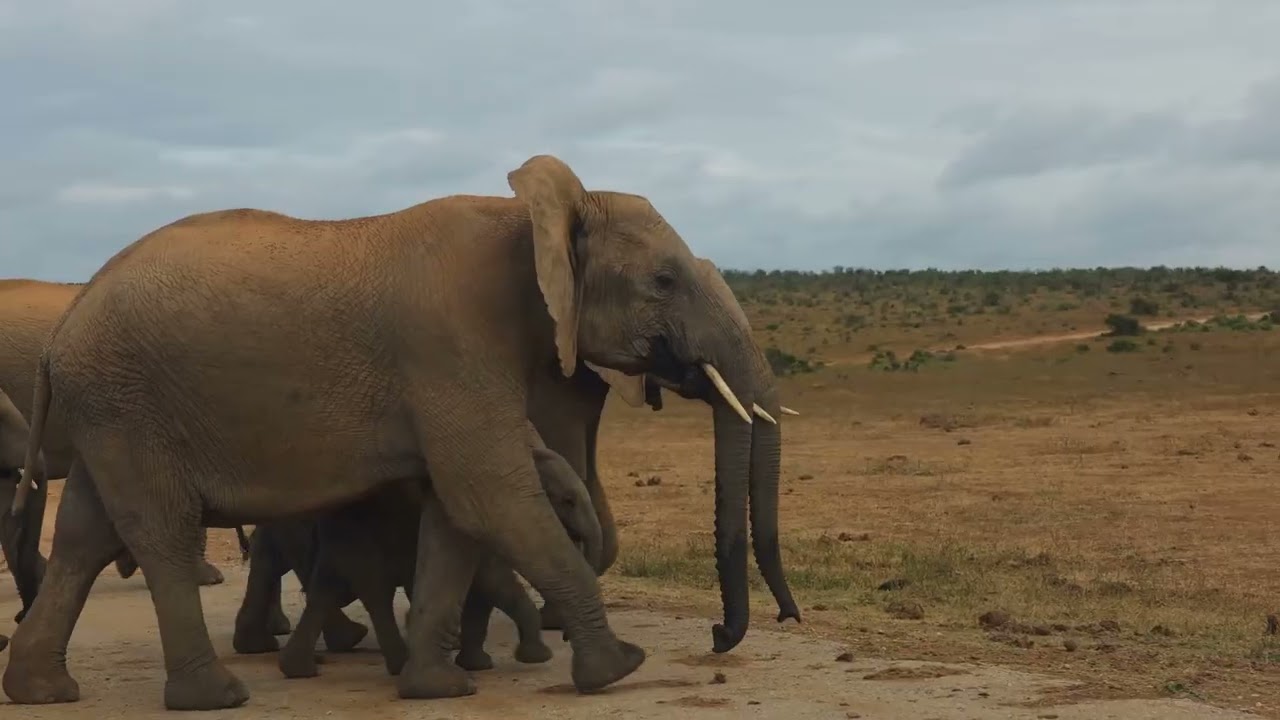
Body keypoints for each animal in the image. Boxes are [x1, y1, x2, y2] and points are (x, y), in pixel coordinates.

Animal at [2, 153, 800, 710]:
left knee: (85, 536)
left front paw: (438, 686)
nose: (722, 637)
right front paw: (619, 668)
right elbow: (492, 497)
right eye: (665, 281)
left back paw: (43, 691)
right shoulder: (451, 343)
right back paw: (216, 697)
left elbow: (455, 516)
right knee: (159, 532)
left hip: (110, 409)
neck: (531, 215)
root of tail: (64, 331)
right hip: (129, 401)